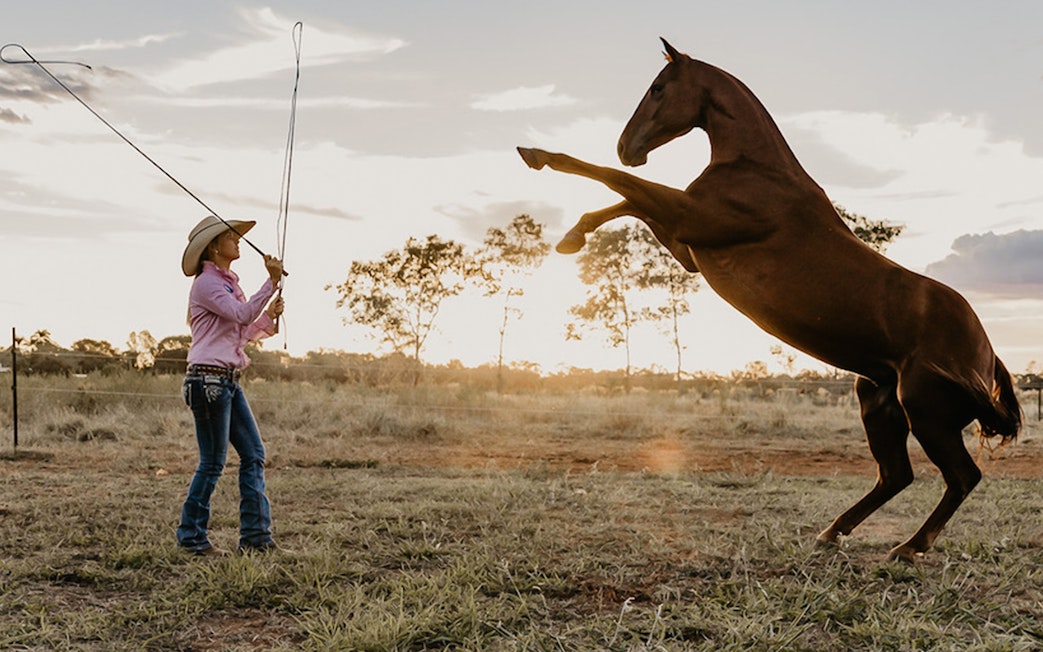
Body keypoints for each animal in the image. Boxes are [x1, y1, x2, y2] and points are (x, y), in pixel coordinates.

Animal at [517, 38, 1021, 562]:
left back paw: (908, 547)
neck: (758, 172)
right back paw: (831, 533)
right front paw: (573, 237)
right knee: (896, 475)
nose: (626, 147)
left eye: (657, 89)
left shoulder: (688, 220)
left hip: (924, 410)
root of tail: (987, 356)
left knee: (961, 476)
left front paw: (538, 155)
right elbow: (627, 201)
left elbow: (617, 182)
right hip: (878, 398)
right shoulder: (687, 245)